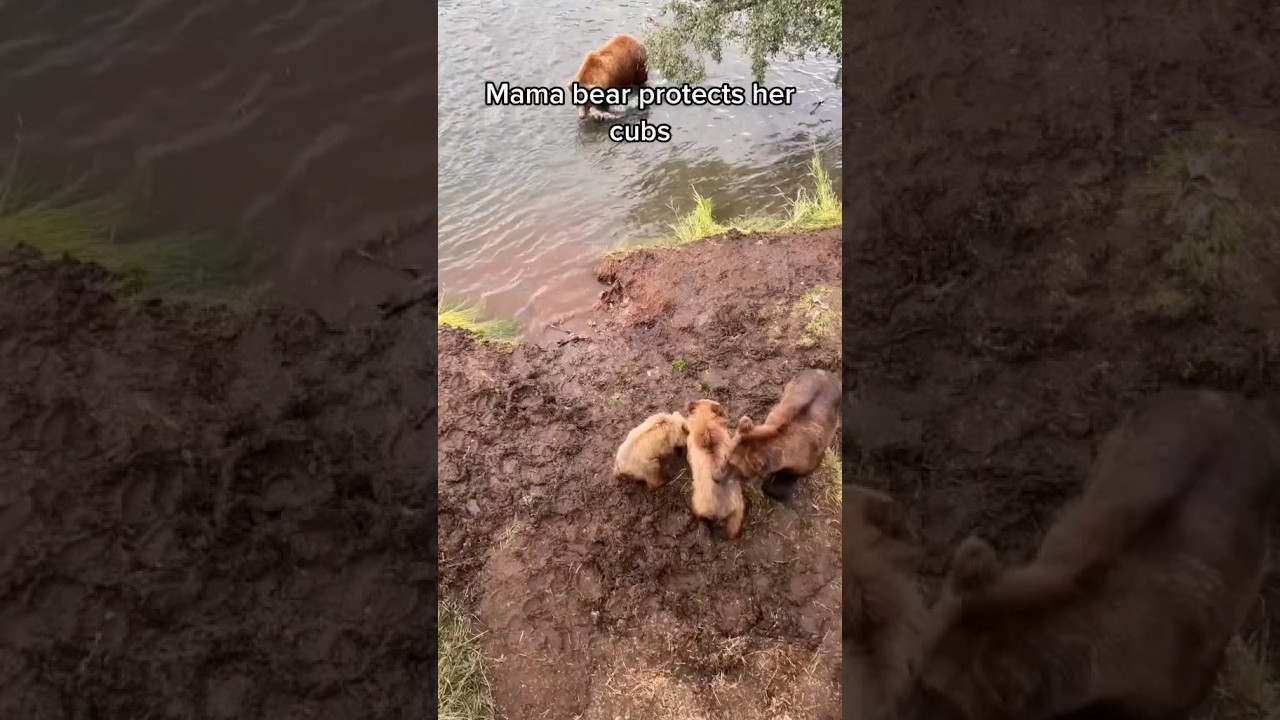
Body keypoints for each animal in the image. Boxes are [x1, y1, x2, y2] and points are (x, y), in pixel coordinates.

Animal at [713, 368, 841, 502]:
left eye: (735, 467)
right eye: (726, 456)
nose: (715, 477)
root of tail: (825, 372)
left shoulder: (807, 458)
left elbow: (791, 476)